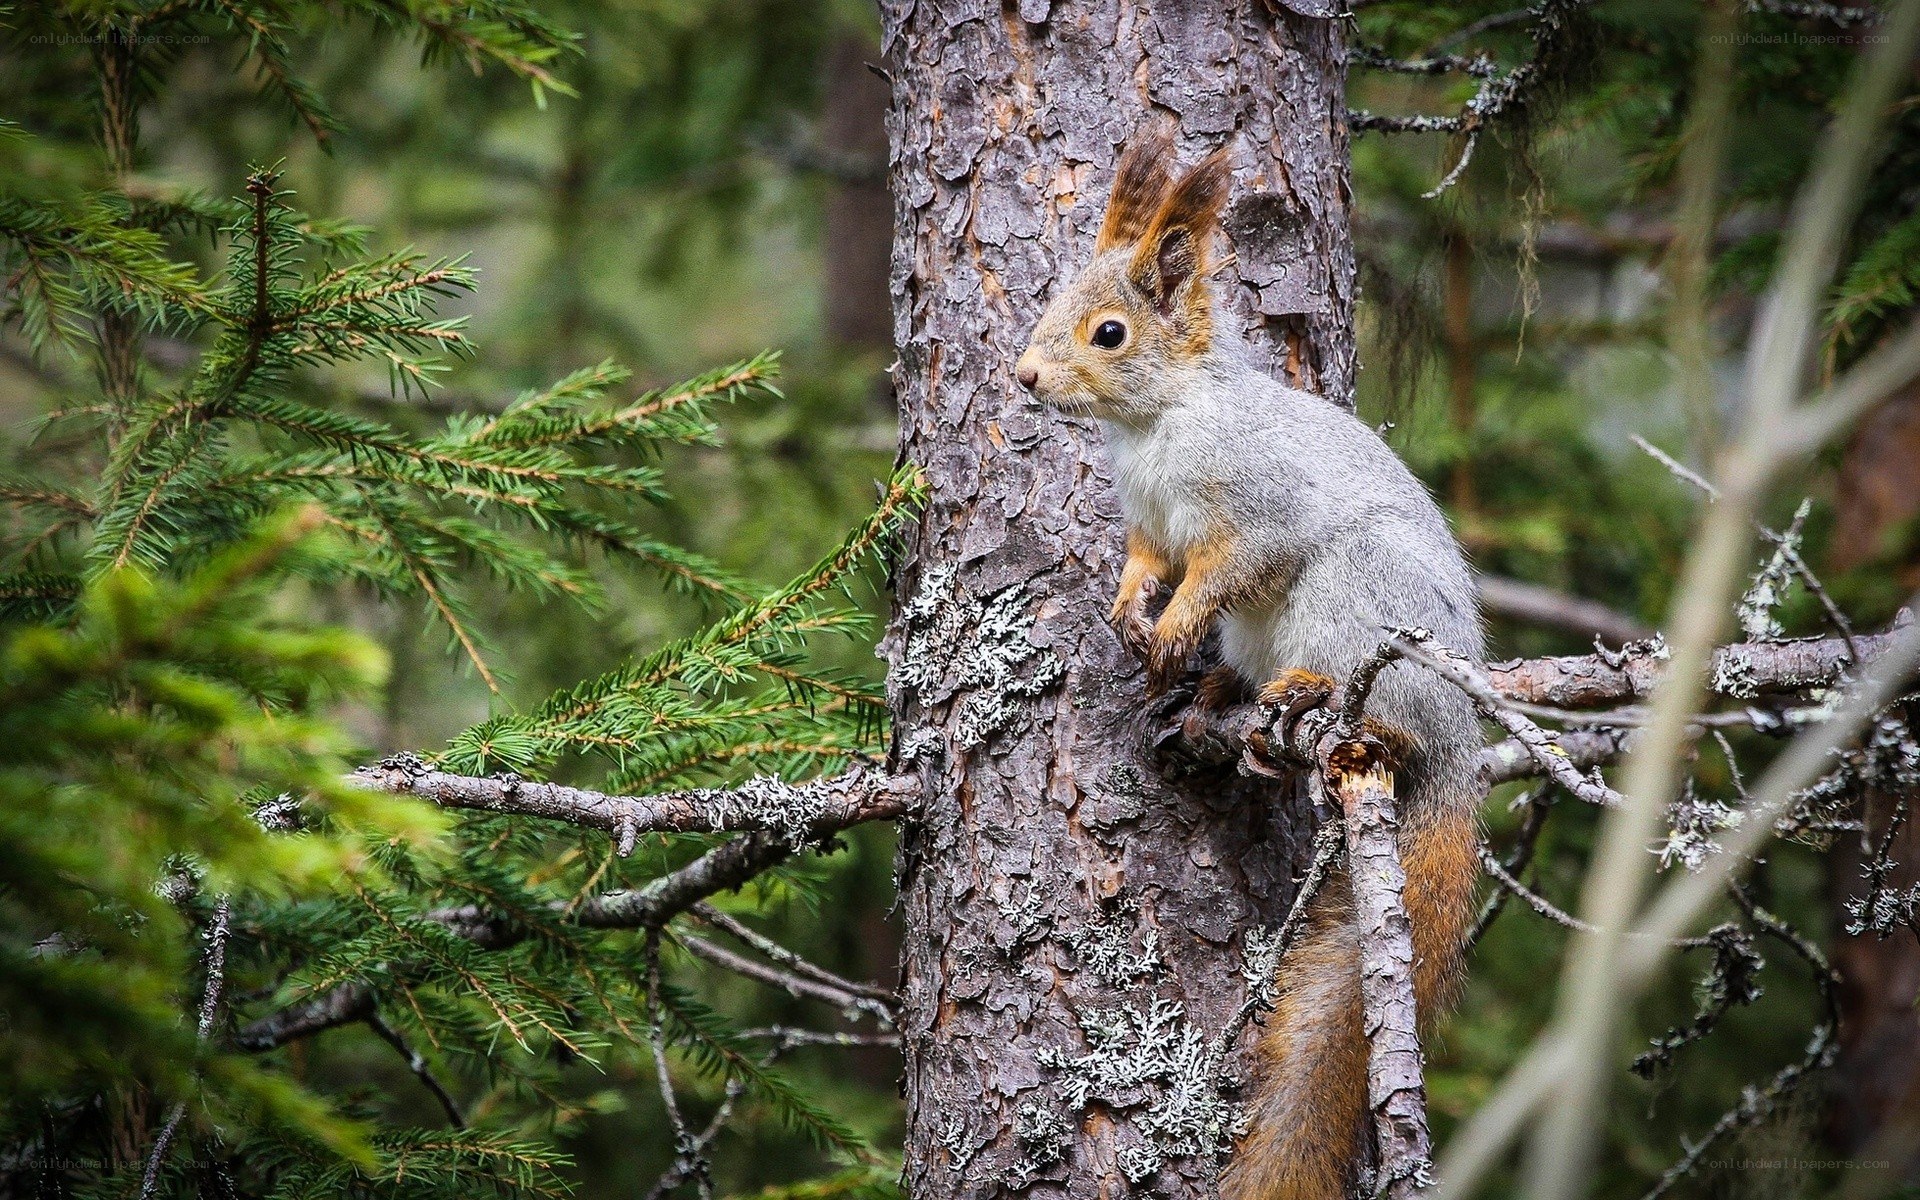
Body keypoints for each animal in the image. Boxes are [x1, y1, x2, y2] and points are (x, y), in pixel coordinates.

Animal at [1014, 125, 1486, 1200]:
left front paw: (1173, 623)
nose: (1023, 377)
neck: (1157, 425)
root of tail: (1461, 746)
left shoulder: (1257, 513)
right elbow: (1149, 564)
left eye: (1108, 333)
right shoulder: (1151, 525)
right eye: (1052, 301)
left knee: (1381, 717)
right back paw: (1215, 703)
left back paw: (1316, 701)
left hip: (1356, 605)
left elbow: (1224, 570)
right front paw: (1130, 613)